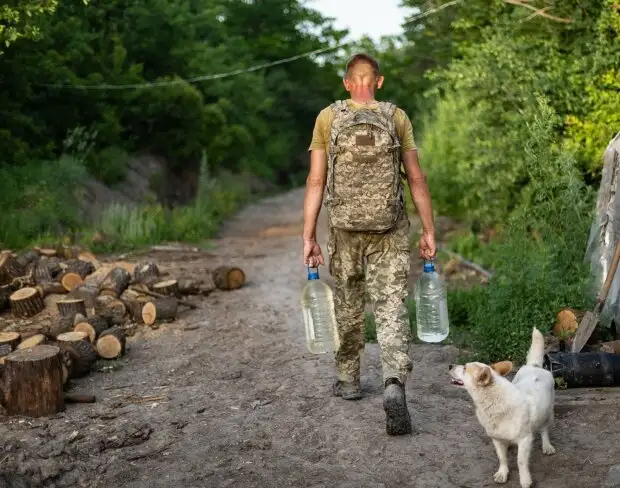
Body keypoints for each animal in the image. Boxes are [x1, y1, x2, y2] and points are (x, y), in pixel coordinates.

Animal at [448, 328, 556, 488]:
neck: (495, 402)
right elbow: (502, 458)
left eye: (465, 368)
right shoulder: (497, 439)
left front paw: (525, 480)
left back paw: (547, 445)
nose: (449, 366)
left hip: (548, 414)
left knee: (544, 429)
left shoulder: (525, 440)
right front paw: (502, 473)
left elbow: (521, 461)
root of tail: (535, 366)